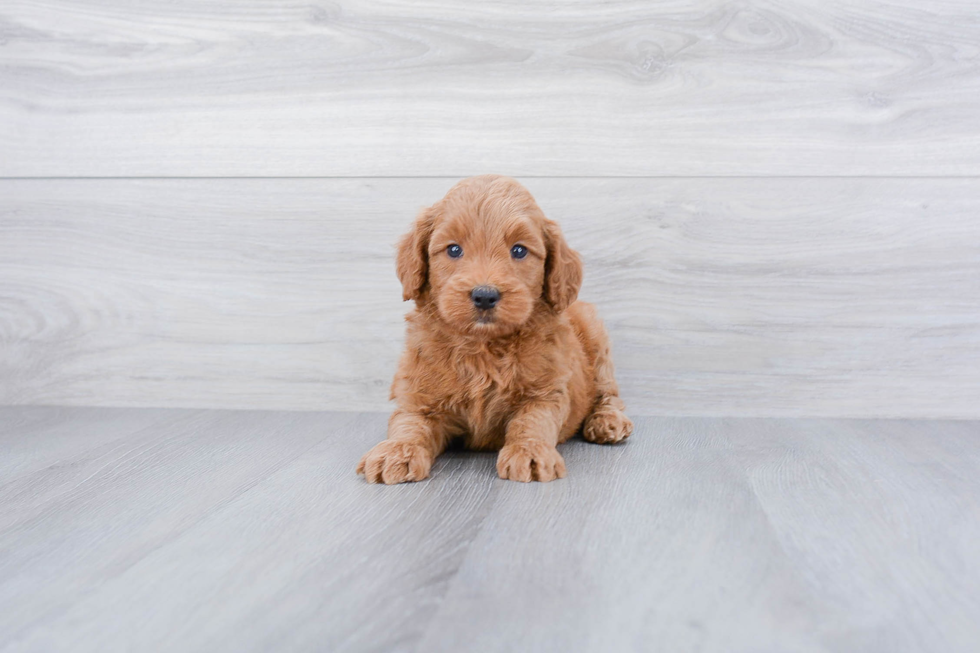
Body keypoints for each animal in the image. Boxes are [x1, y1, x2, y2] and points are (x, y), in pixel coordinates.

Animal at [356, 174, 632, 484]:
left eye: (519, 250)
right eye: (454, 249)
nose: (485, 295)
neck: (482, 346)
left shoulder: (546, 391)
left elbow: (533, 420)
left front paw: (529, 451)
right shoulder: (418, 395)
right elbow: (409, 423)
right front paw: (396, 451)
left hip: (595, 335)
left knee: (608, 392)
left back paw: (607, 421)